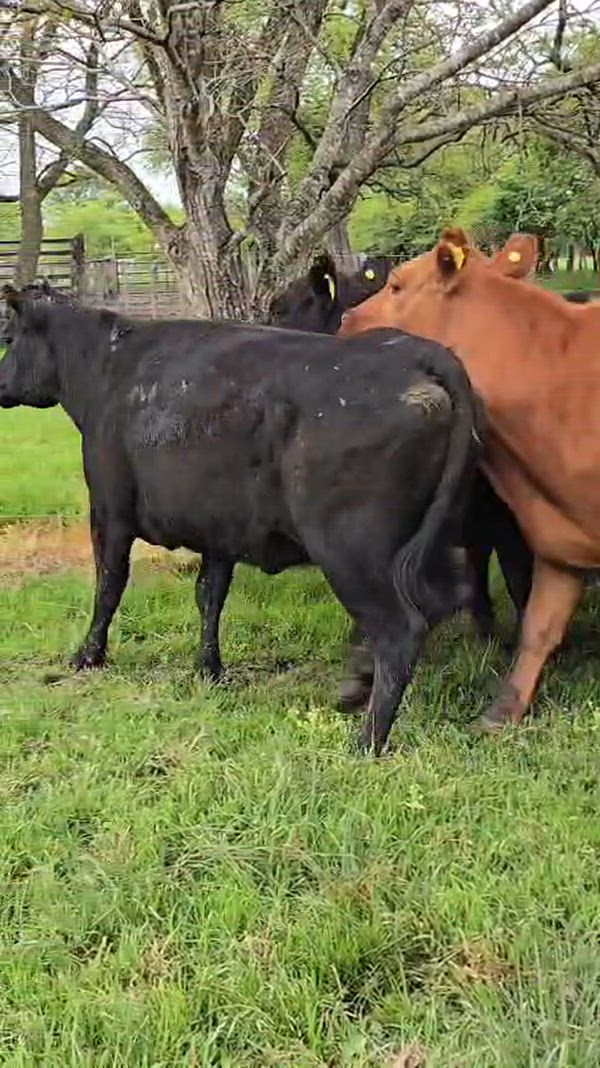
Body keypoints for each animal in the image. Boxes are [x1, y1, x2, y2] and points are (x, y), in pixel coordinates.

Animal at [0, 287, 483, 754]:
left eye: (8, 337)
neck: (106, 366)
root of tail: (414, 352)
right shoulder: (219, 529)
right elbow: (209, 595)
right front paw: (208, 668)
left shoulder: (110, 510)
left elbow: (108, 586)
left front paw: (88, 656)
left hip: (351, 550)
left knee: (400, 631)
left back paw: (367, 742)